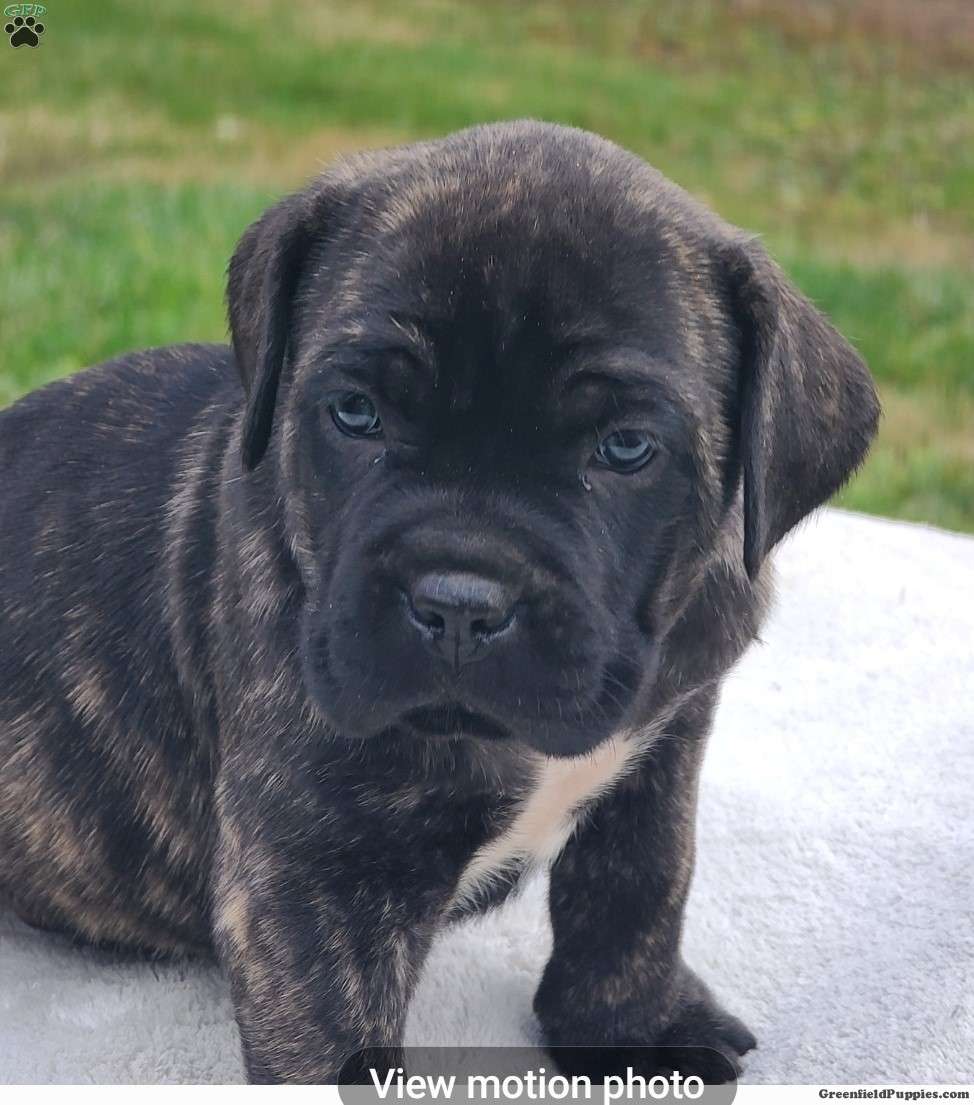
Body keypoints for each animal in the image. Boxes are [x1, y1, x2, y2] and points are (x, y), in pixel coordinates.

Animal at [0, 118, 880, 1078]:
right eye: (355, 412)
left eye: (626, 448)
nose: (460, 601)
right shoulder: (315, 883)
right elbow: (335, 1046)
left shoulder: (661, 753)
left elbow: (636, 890)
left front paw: (631, 1028)